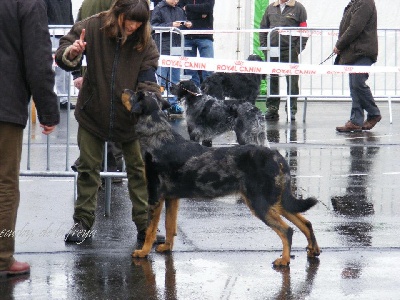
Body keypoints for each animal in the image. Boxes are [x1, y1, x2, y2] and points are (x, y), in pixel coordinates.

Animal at [122, 89, 322, 268]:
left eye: (135, 93)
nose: (123, 89)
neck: (158, 137)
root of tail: (277, 156)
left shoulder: (155, 196)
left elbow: (150, 229)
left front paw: (143, 252)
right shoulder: (172, 198)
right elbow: (170, 225)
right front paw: (167, 247)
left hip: (260, 202)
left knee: (286, 230)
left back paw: (285, 260)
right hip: (275, 200)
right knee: (305, 222)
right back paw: (313, 250)